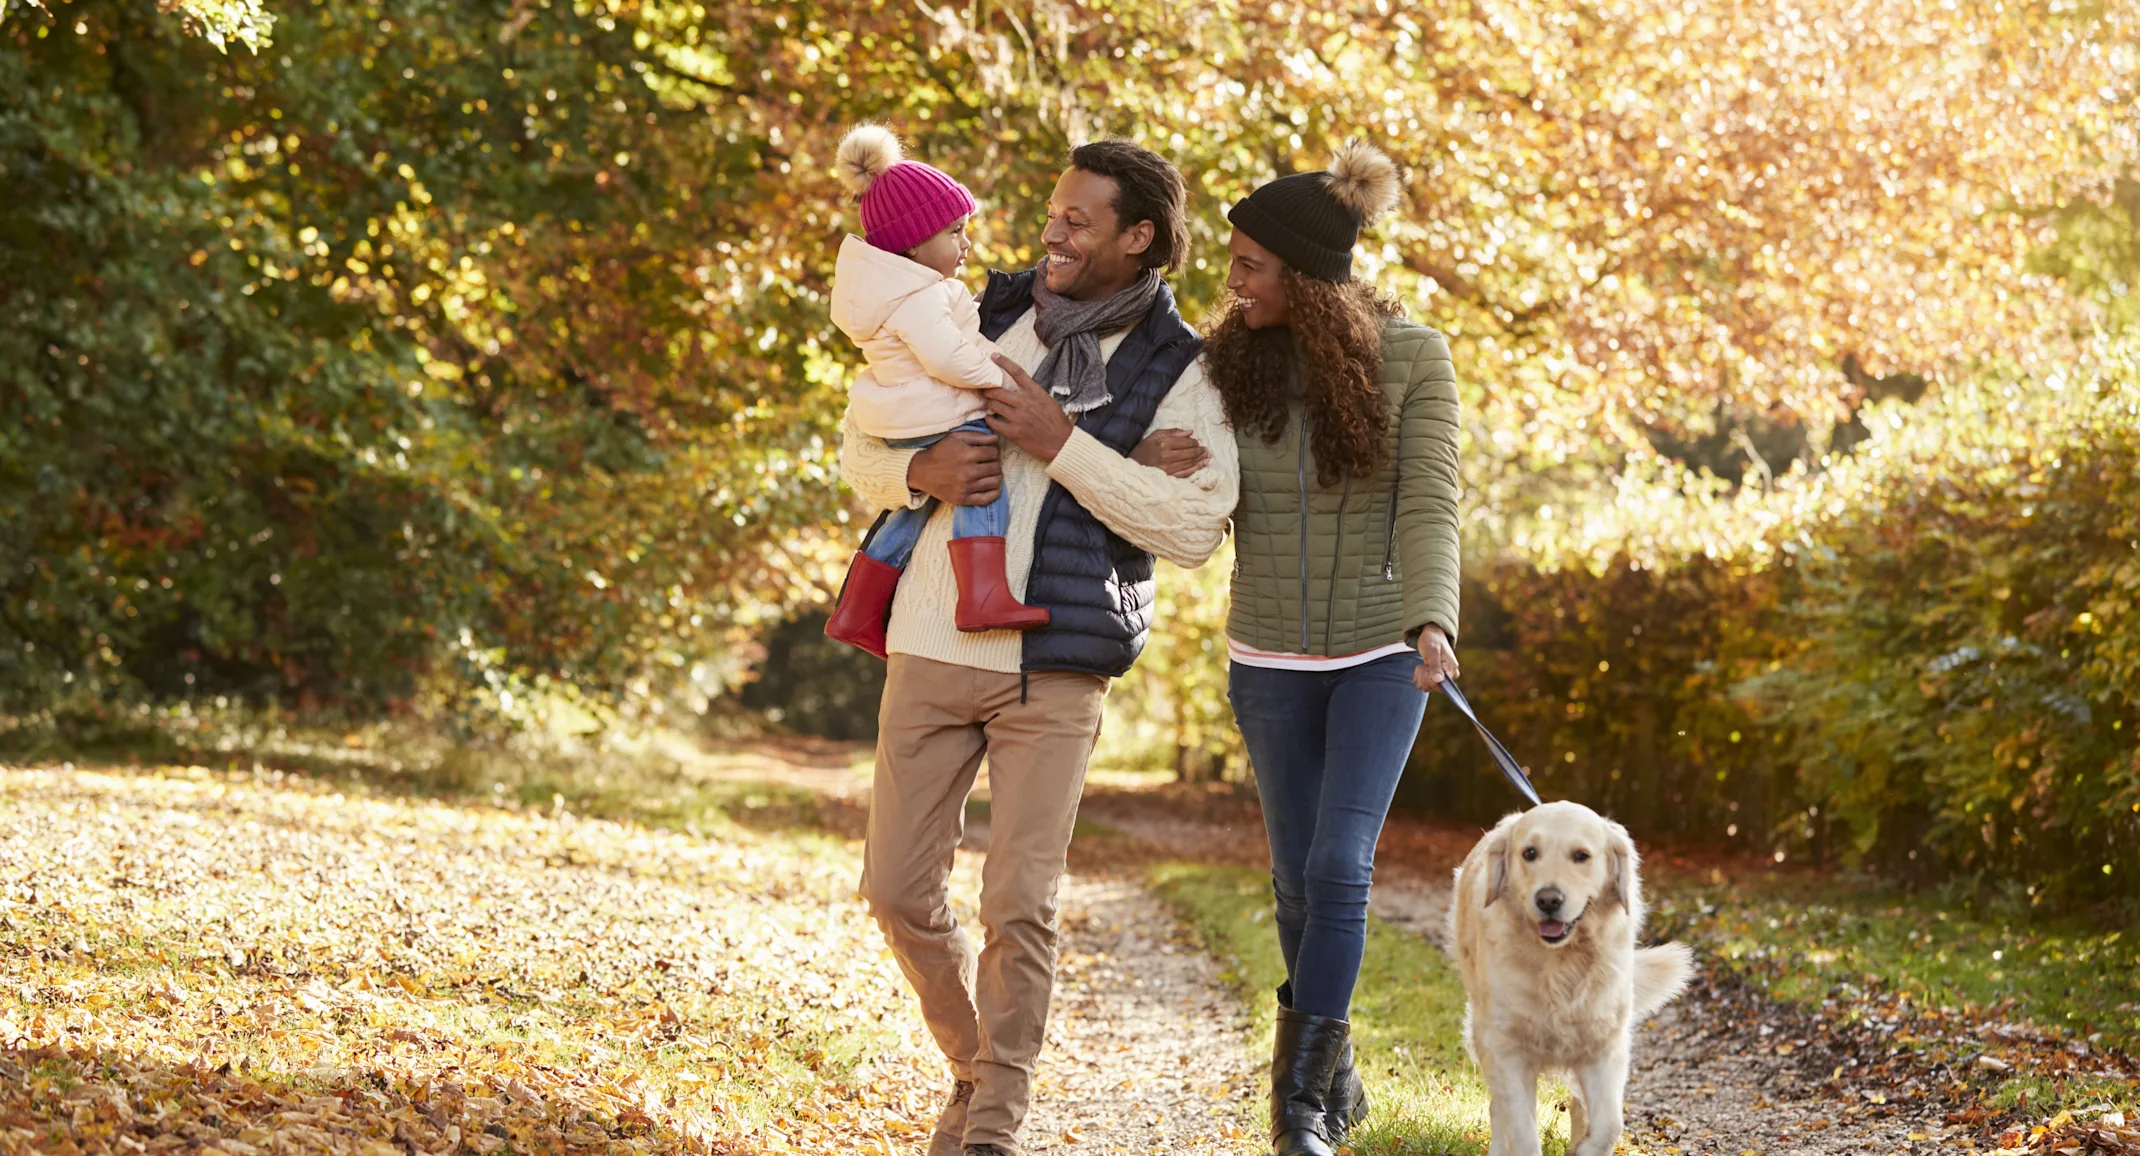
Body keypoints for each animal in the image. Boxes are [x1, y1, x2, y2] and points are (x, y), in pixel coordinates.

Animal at [1446, 804, 1694, 1156]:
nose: (1548, 899)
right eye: (1530, 853)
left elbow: (1609, 1125)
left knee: (1579, 1108)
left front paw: (1584, 1149)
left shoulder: (1604, 1048)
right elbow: (1522, 1131)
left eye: (1581, 856)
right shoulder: (1506, 1049)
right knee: (1499, 1110)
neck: (1561, 964)